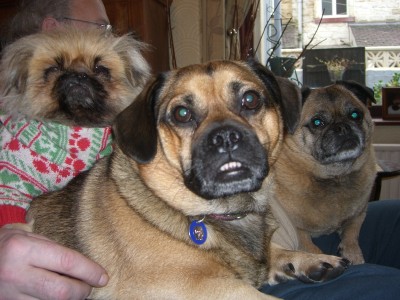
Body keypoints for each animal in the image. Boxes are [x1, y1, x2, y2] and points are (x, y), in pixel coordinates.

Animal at [26, 59, 348, 298]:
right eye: (182, 113)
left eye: (250, 99)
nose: (226, 137)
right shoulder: (199, 288)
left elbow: (276, 251)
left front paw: (307, 260)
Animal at [272, 80, 378, 264]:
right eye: (317, 122)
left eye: (355, 115)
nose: (342, 127)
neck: (335, 177)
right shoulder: (299, 232)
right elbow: (312, 249)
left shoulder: (359, 214)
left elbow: (352, 232)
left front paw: (353, 253)